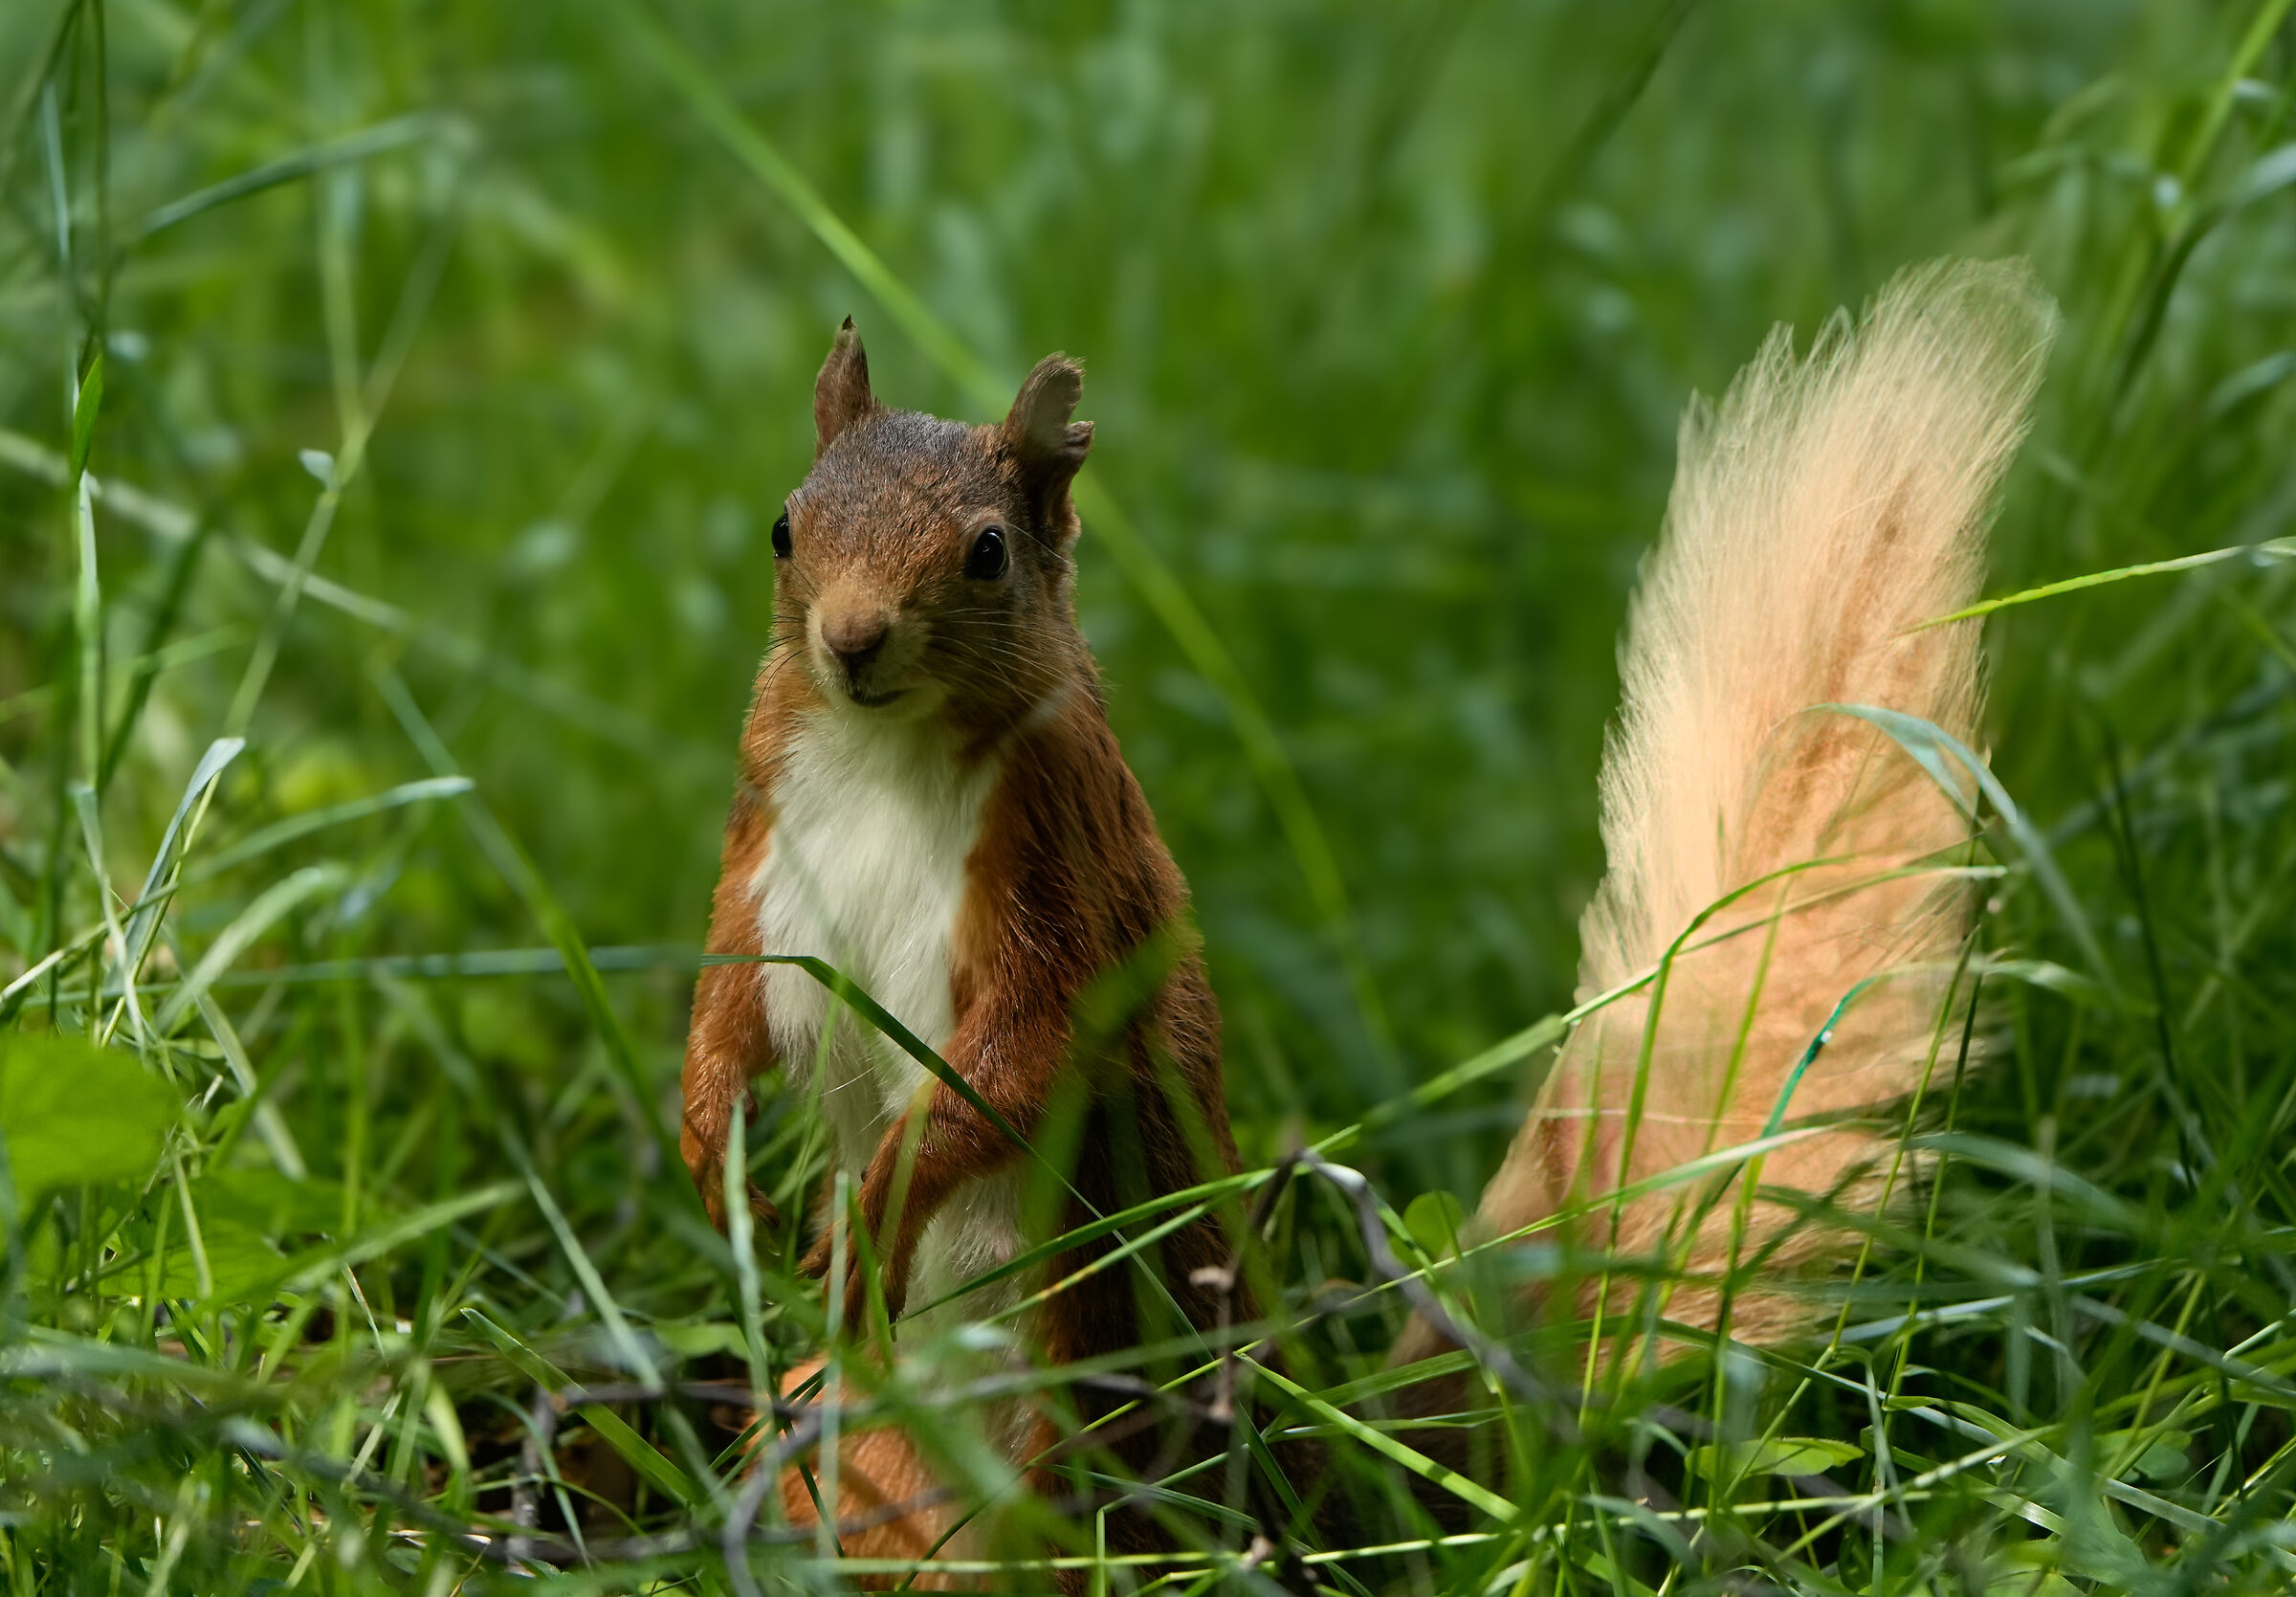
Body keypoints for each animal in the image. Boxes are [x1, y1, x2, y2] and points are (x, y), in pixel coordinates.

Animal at [681, 259, 2057, 1580]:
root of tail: (1316, 1481)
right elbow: (728, 998)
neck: (885, 749)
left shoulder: (1056, 876)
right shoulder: (767, 834)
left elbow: (1015, 1060)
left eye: (985, 552)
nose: (852, 640)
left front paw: (867, 1217)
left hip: (1084, 1444)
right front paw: (716, 1158)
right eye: (785, 527)